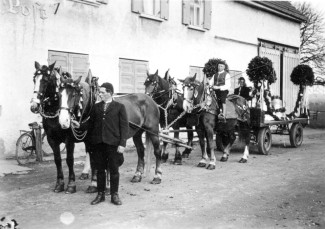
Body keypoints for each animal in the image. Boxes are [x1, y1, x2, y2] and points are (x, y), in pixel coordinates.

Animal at [29, 61, 95, 193]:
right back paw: (85, 173)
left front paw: (71, 184)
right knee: (88, 151)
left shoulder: (69, 140)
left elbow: (69, 160)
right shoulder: (51, 139)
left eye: (45, 80)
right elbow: (58, 160)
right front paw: (59, 183)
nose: (34, 106)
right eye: (34, 79)